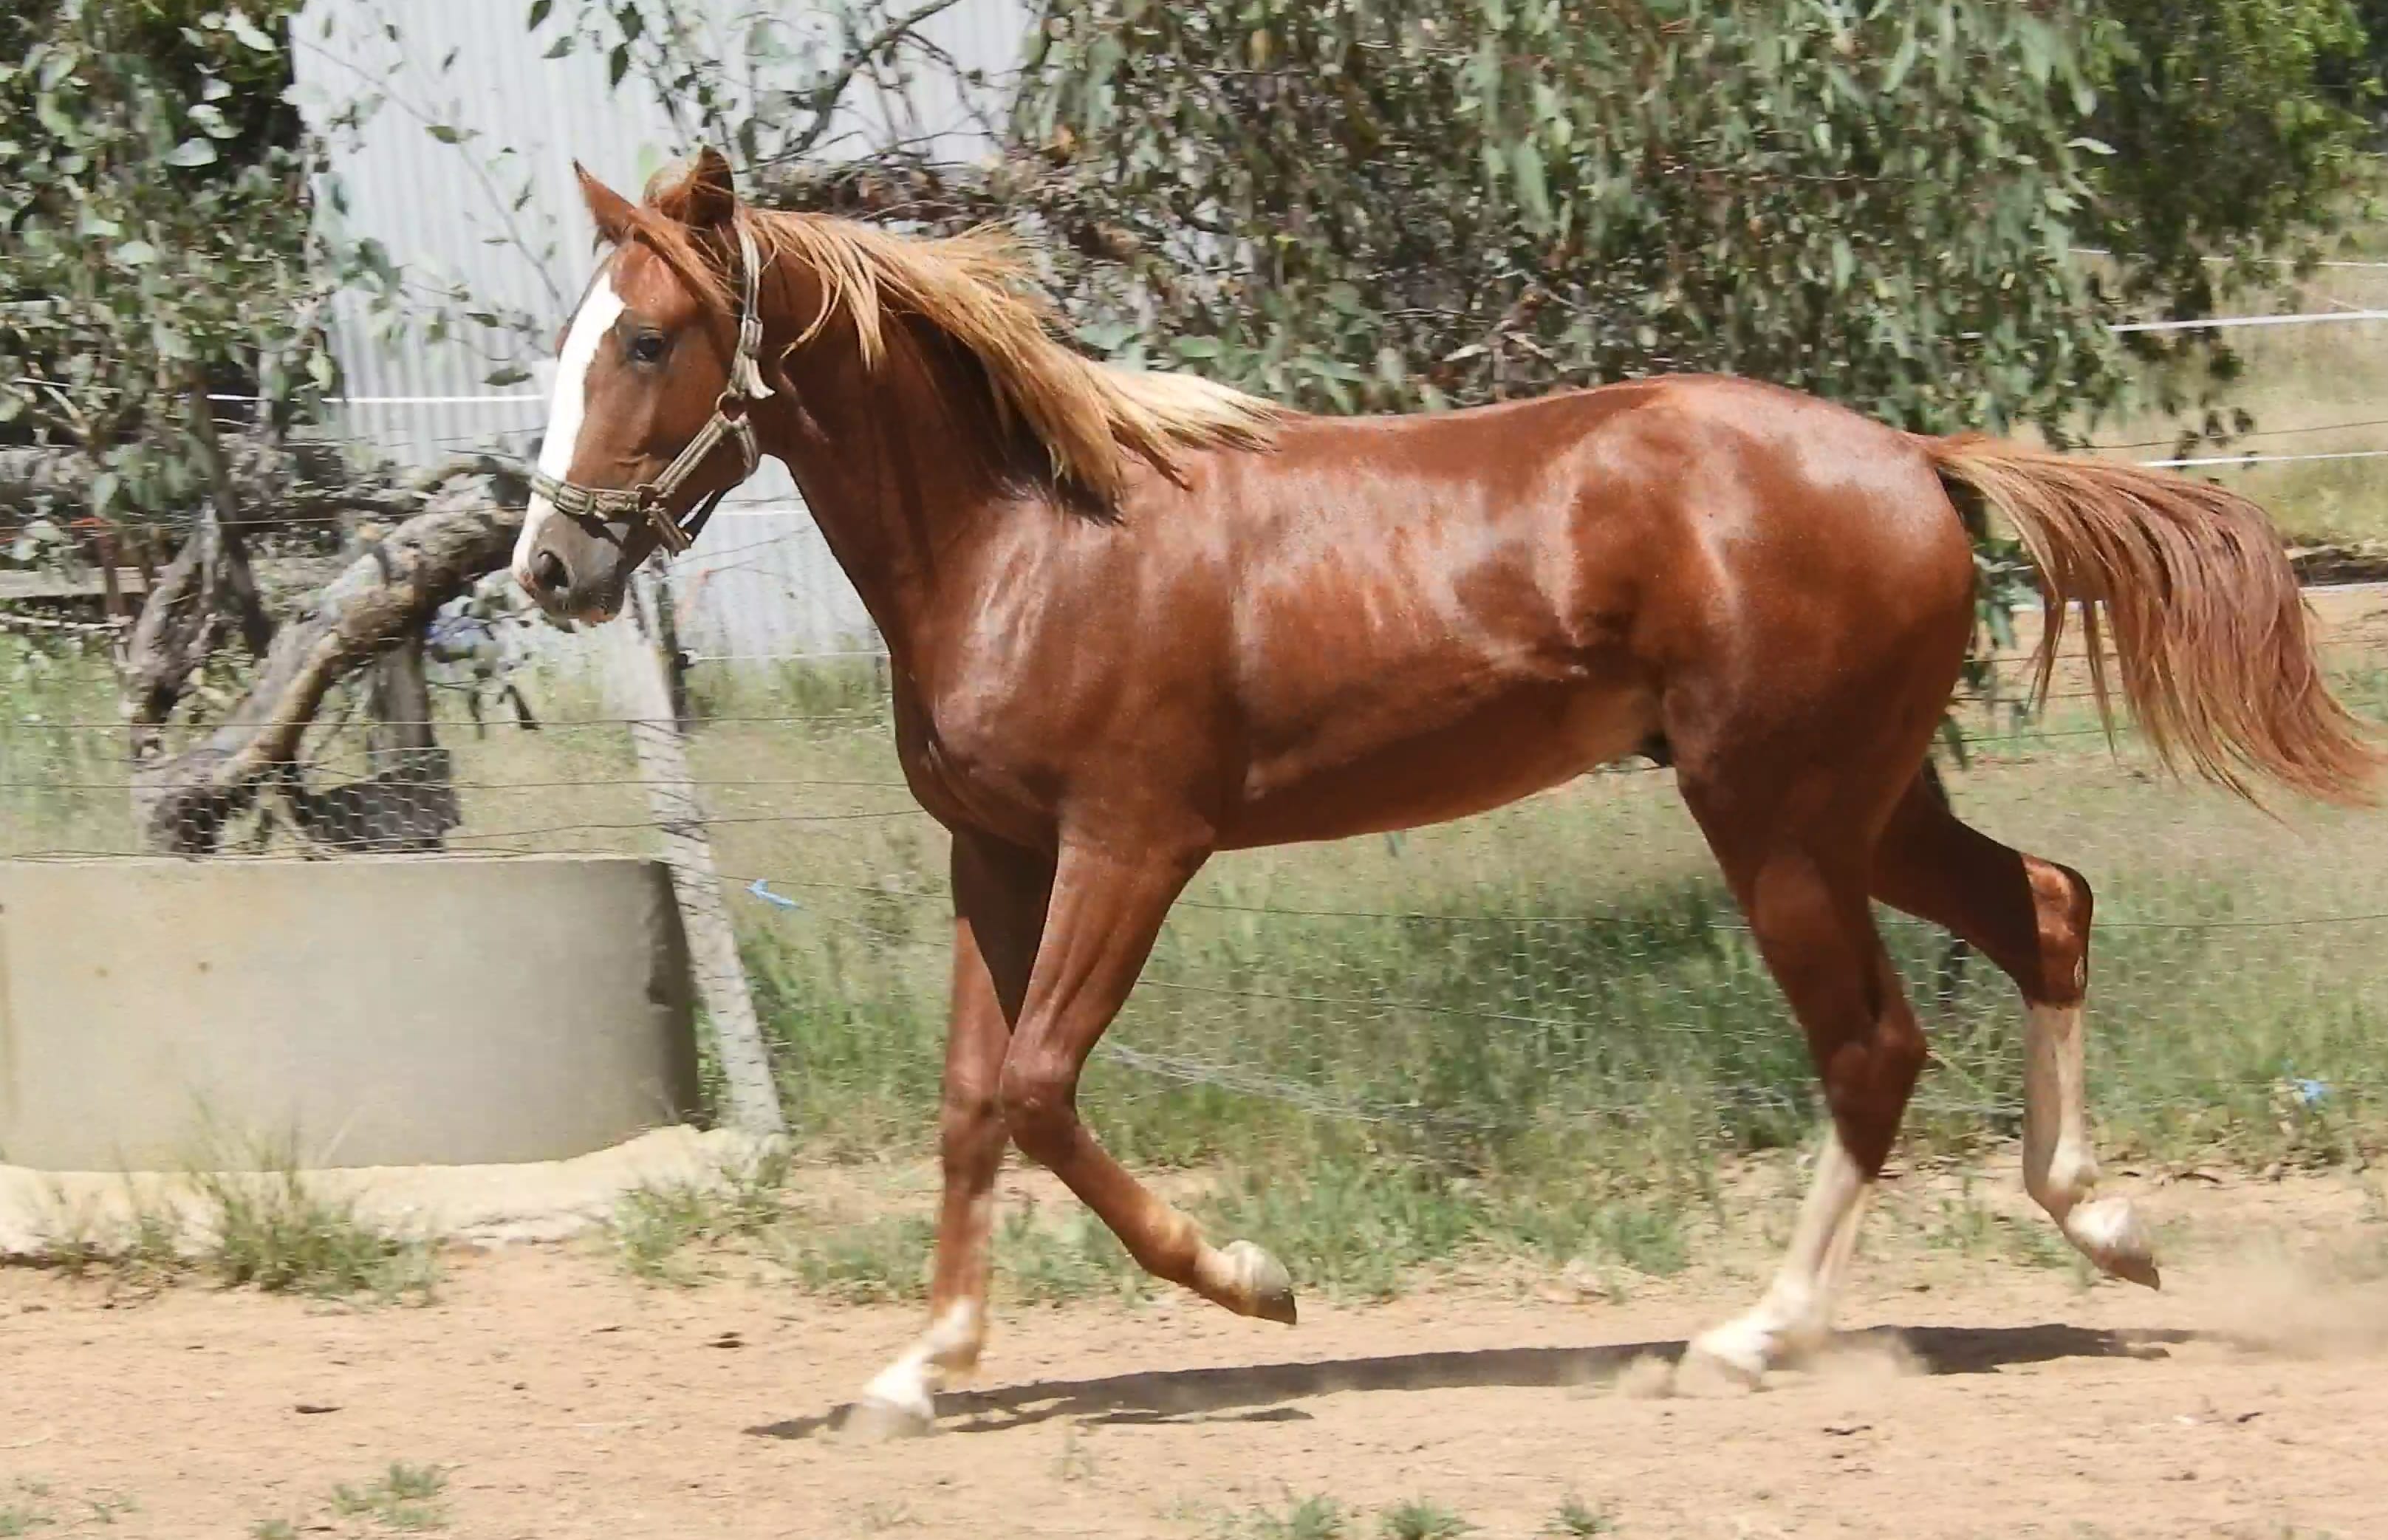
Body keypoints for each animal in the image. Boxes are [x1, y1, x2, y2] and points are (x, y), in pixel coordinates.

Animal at [512, 149, 2377, 1433]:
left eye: (654, 338)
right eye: (570, 341)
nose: (548, 567)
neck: (1033, 538)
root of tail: (1914, 458)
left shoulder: (1135, 842)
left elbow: (1039, 1087)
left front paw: (1252, 1282)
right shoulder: (999, 853)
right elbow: (970, 1099)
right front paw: (921, 1364)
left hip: (1774, 815)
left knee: (1872, 1041)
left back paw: (1752, 1330)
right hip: (1862, 800)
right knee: (2044, 902)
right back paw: (2103, 1221)